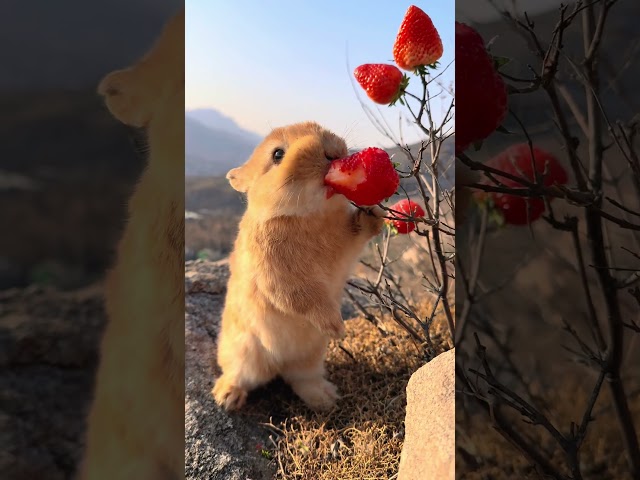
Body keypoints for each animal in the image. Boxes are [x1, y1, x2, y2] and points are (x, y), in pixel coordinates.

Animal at [214, 122, 384, 410]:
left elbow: (359, 229)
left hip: (311, 357)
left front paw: (376, 213)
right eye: (277, 155)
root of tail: (278, 366)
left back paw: (326, 399)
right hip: (244, 355)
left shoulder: (348, 245)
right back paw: (227, 398)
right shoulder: (281, 278)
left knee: (302, 379)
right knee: (240, 375)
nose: (332, 151)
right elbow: (305, 299)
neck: (307, 214)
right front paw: (337, 328)